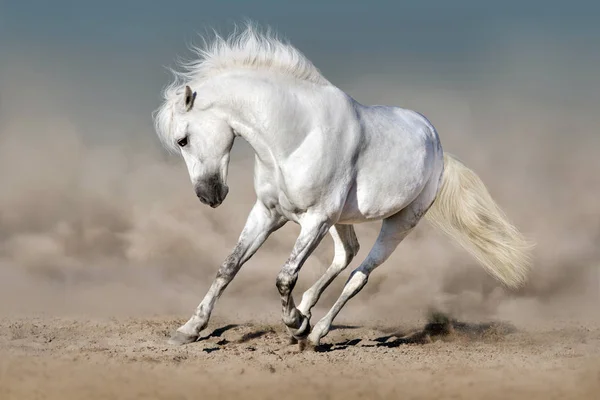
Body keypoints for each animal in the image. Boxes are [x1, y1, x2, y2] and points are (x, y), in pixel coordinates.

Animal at [152, 25, 532, 350]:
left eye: (183, 139)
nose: (208, 195)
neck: (295, 138)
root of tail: (438, 146)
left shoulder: (316, 219)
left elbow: (284, 276)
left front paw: (294, 323)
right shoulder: (269, 213)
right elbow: (229, 267)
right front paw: (188, 330)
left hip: (399, 223)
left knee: (359, 274)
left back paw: (314, 332)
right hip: (341, 220)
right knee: (346, 253)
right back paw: (307, 311)